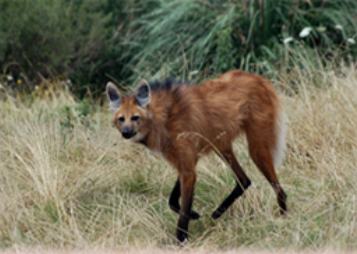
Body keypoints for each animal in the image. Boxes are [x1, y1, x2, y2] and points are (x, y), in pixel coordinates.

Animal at [105, 69, 286, 242]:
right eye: (121, 119)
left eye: (135, 117)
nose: (125, 133)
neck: (163, 118)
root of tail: (258, 78)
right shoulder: (188, 160)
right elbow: (172, 201)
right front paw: (193, 215)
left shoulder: (188, 166)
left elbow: (182, 211)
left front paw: (181, 240)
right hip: (221, 145)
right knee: (244, 180)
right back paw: (217, 213)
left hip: (256, 150)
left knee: (279, 190)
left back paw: (283, 220)